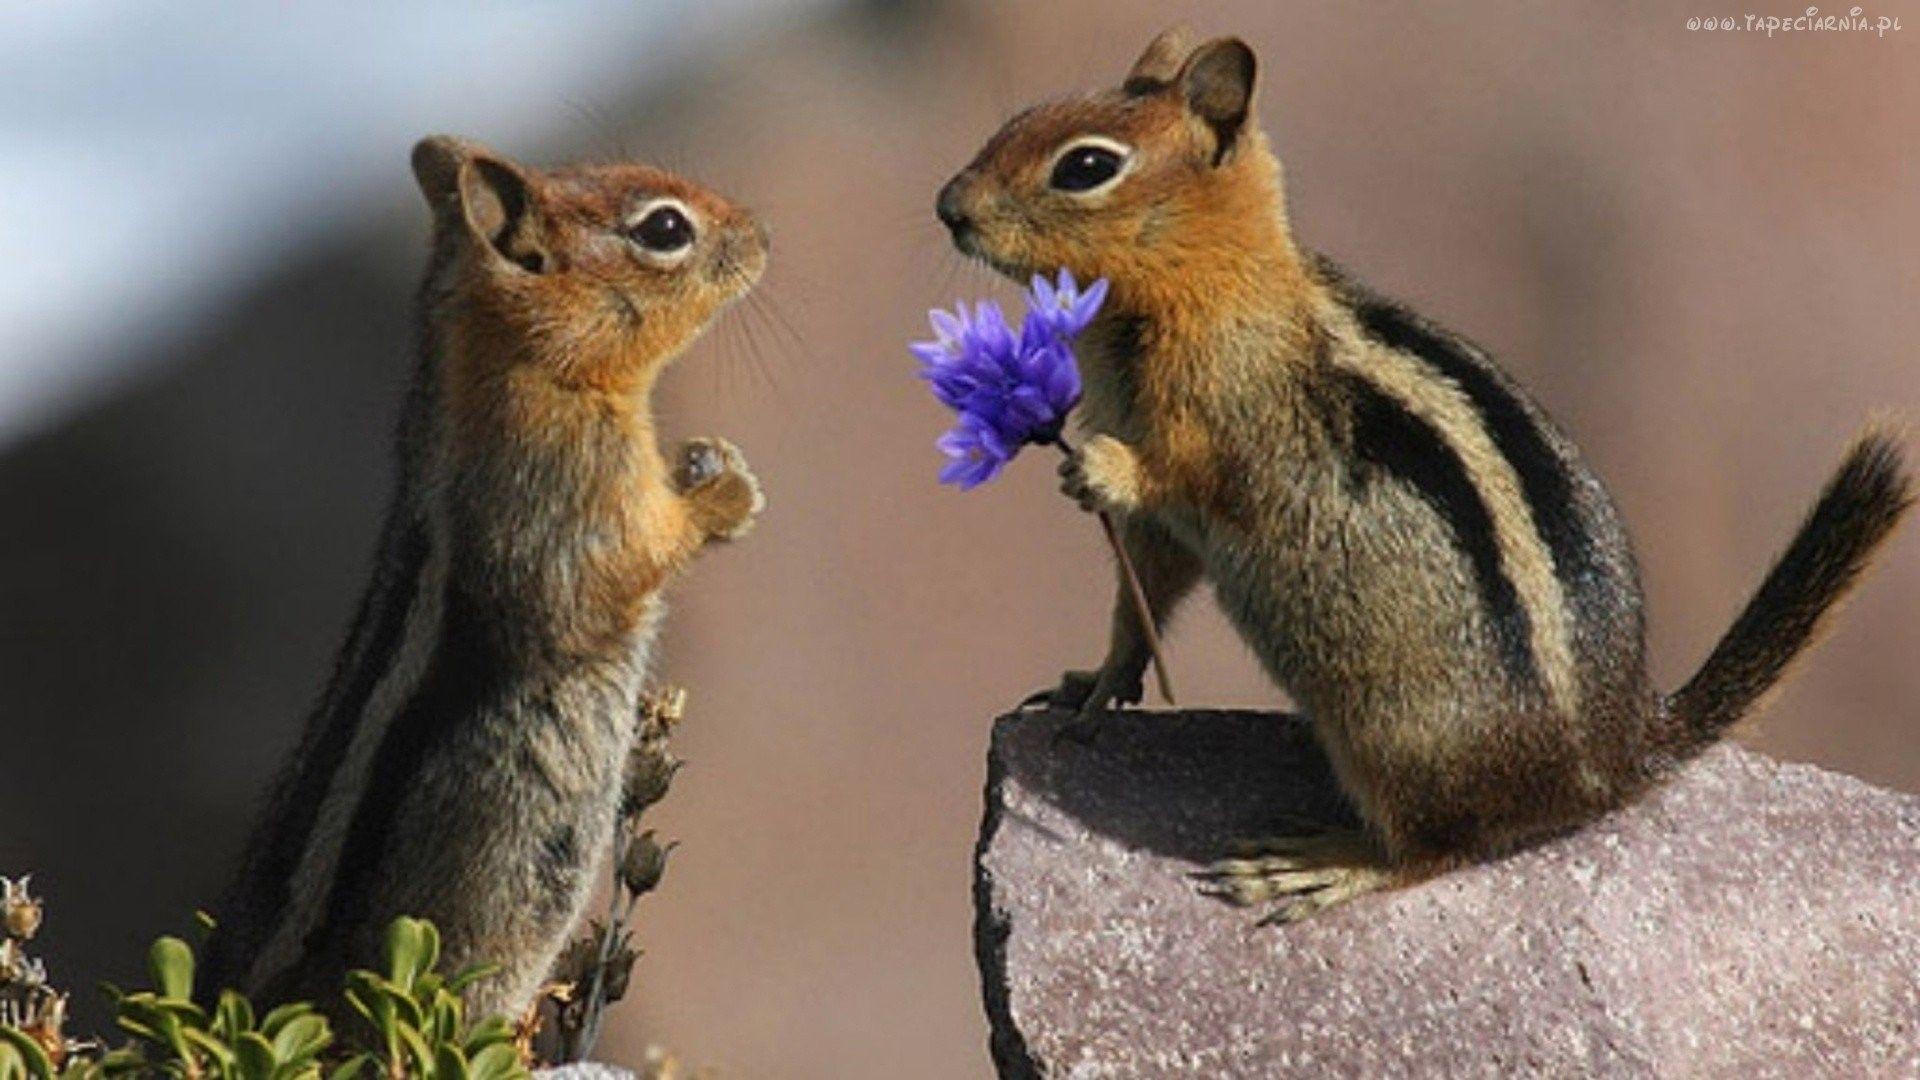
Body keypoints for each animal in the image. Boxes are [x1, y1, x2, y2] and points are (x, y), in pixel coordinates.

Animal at [199, 136, 766, 1016]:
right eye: (666, 229)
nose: (761, 238)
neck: (522, 364)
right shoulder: (564, 487)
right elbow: (629, 558)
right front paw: (725, 494)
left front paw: (714, 463)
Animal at [936, 26, 1914, 922]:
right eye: (1022, 118)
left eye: (1085, 167)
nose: (949, 206)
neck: (1213, 285)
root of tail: (1620, 756)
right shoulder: (1164, 537)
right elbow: (1140, 602)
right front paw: (1096, 684)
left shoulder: (1221, 426)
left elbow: (1182, 478)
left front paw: (1097, 470)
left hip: (1392, 740)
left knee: (1440, 849)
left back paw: (1323, 865)